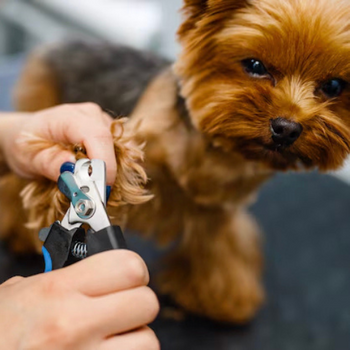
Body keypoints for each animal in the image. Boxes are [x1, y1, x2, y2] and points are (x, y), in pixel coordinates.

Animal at [2, 0, 350, 322]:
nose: (286, 128)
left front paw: (217, 295)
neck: (211, 150)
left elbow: (218, 246)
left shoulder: (218, 208)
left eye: (334, 85)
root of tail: (68, 40)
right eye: (254, 65)